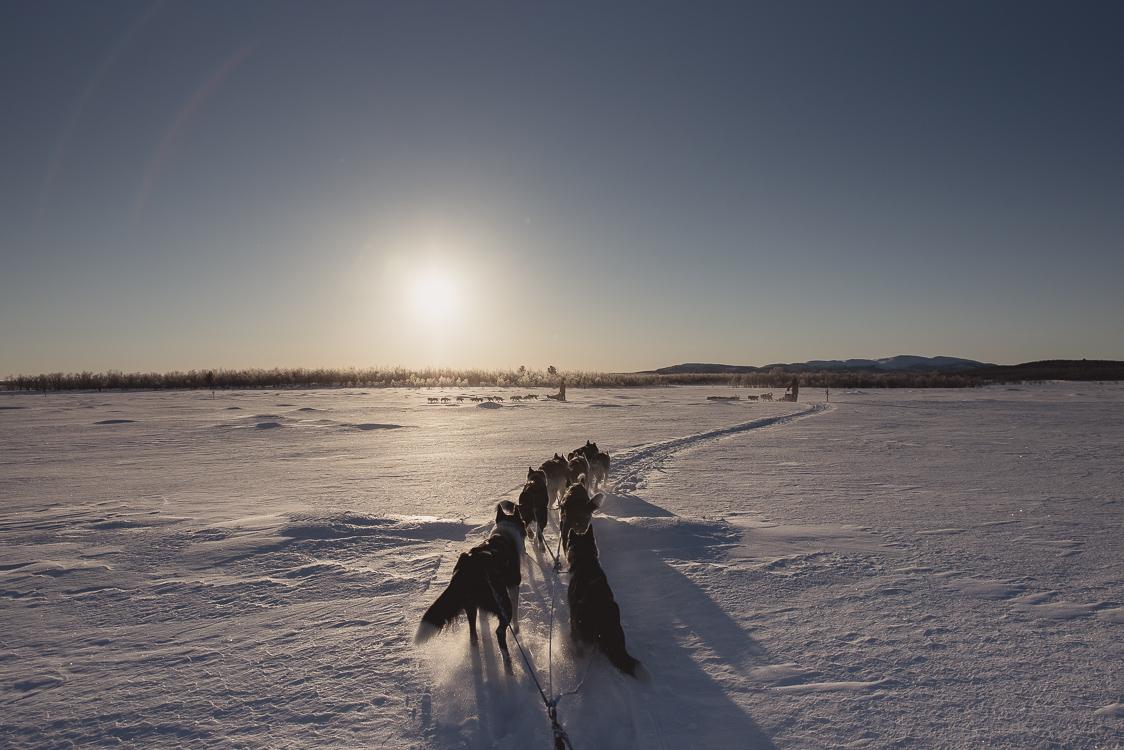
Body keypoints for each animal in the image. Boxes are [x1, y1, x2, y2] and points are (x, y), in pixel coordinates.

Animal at [415, 503, 528, 674]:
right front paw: (516, 628)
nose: (527, 532)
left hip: (470, 604)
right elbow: (516, 612)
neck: (505, 534)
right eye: (522, 522)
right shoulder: (514, 586)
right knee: (500, 631)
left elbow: (482, 617)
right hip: (502, 602)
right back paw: (508, 665)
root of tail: (468, 565)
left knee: (473, 633)